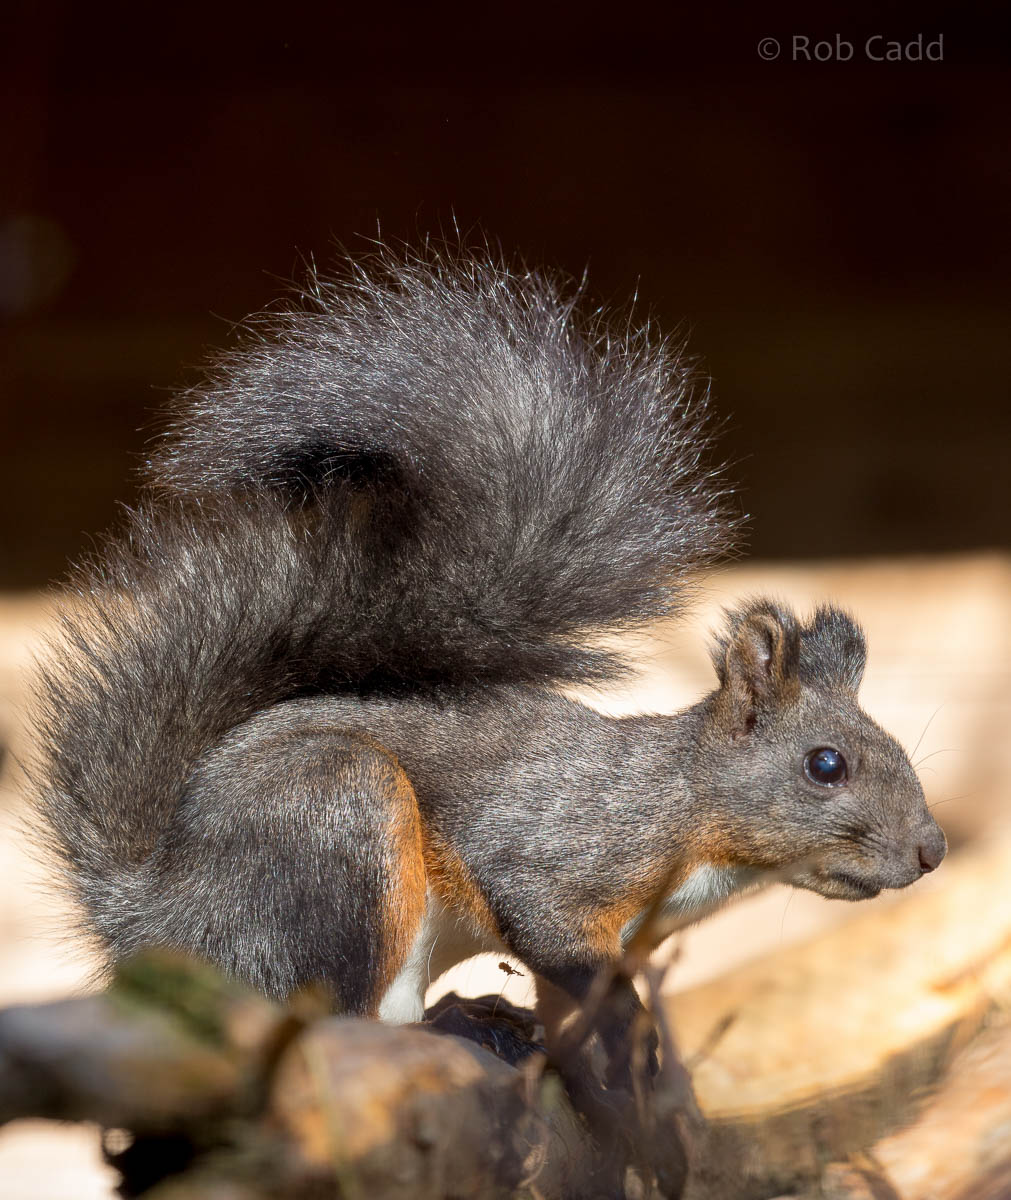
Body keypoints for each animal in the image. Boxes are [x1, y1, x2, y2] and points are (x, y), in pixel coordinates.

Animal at [33, 249, 946, 1080]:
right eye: (824, 764)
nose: (931, 850)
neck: (688, 806)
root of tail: (155, 916)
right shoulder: (561, 845)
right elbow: (542, 919)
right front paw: (626, 1026)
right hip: (335, 820)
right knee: (319, 1014)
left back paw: (471, 1019)